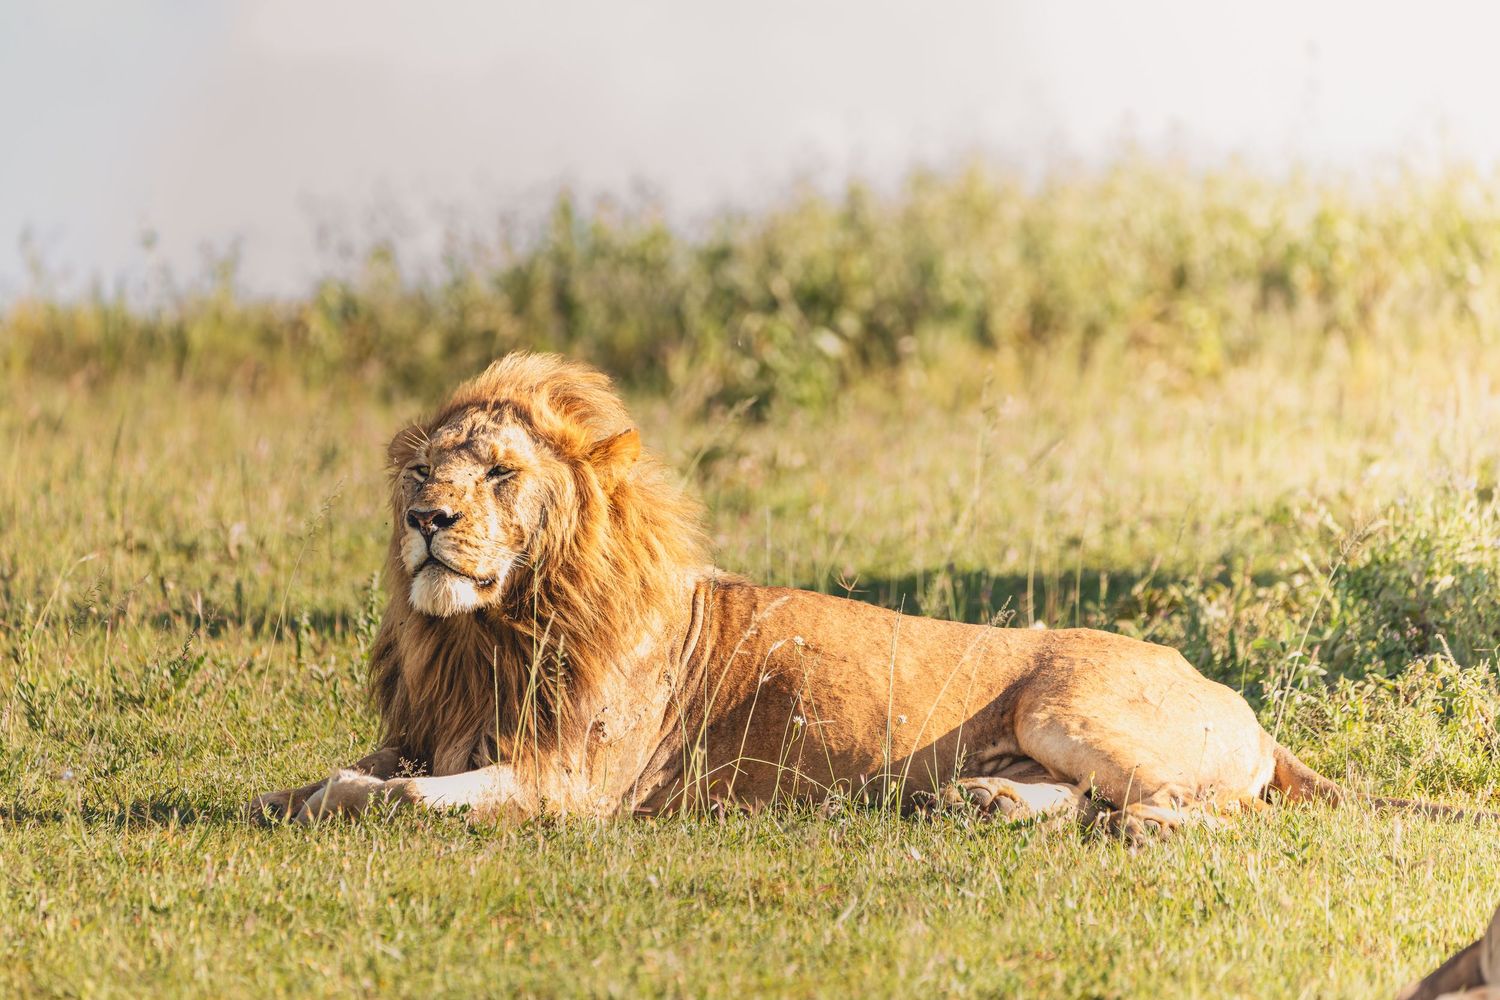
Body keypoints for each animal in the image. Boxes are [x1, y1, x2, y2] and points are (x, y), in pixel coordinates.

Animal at [248, 352, 1463, 838]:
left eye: (498, 474)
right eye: (421, 469)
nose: (426, 519)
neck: (488, 634)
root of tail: (1237, 697)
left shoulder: (573, 783)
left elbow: (395, 798)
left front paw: (336, 800)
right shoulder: (443, 726)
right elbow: (336, 776)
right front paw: (282, 796)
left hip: (1066, 703)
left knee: (1221, 809)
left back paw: (1139, 827)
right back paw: (985, 801)